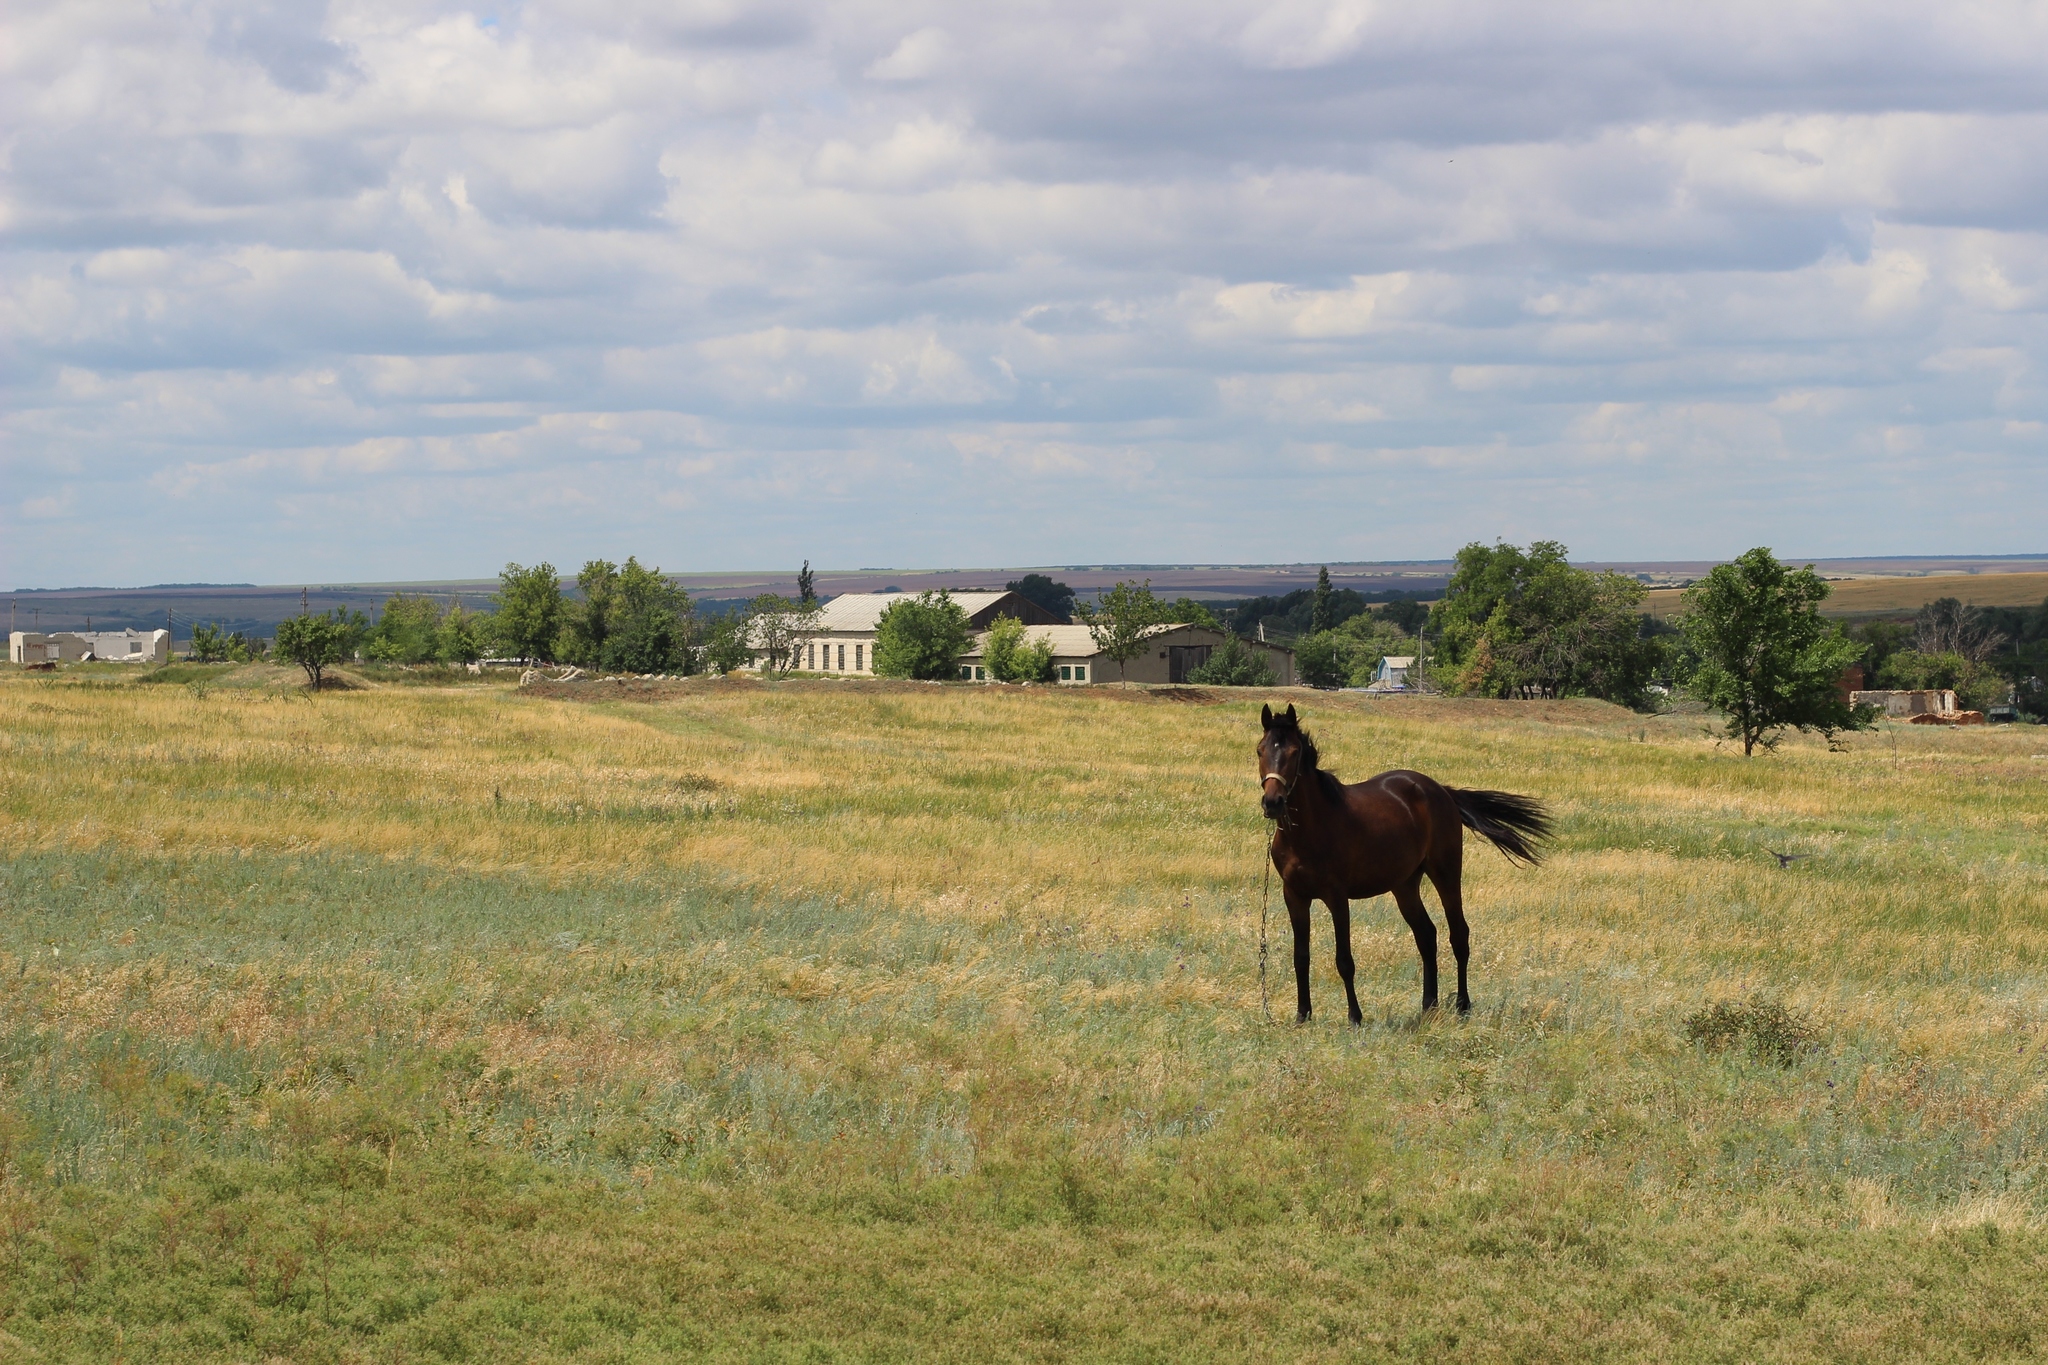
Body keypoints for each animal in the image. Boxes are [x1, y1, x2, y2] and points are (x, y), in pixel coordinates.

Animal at [1253, 712, 1540, 1019]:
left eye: (1294, 752)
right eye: (1260, 750)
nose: (1272, 802)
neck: (1309, 830)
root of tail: (1441, 791)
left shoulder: (1337, 898)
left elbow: (1344, 961)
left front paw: (1355, 1017)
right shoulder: (1294, 896)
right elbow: (1301, 957)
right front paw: (1302, 1016)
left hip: (1446, 874)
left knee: (1459, 935)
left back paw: (1462, 1005)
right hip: (1405, 885)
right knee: (1426, 935)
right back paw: (1429, 1005)